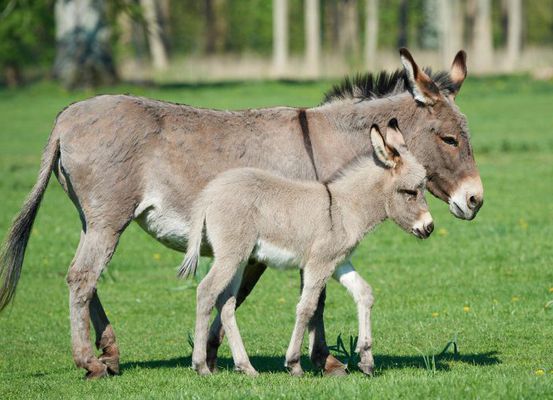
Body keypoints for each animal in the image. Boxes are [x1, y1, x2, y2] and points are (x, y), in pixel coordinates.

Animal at [180, 120, 432, 376]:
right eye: (410, 192)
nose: (429, 227)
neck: (342, 208)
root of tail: (210, 193)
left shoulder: (339, 262)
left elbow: (364, 293)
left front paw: (366, 360)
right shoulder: (319, 263)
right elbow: (307, 307)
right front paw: (293, 363)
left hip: (239, 258)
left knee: (226, 302)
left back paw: (246, 367)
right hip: (230, 255)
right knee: (206, 291)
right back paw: (201, 365)